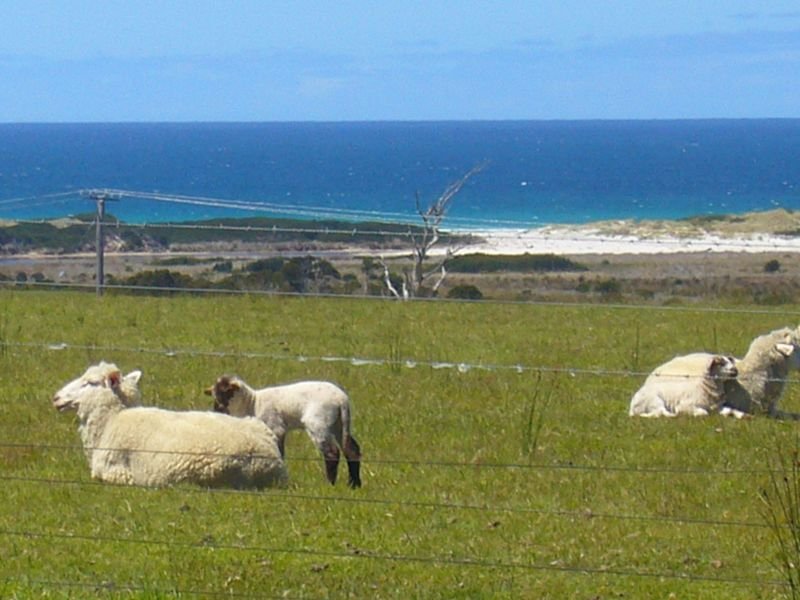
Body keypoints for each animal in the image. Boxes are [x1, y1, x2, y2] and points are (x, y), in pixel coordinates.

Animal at [206, 378, 362, 490]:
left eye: (224, 394)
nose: (216, 411)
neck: (252, 403)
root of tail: (341, 399)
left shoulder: (276, 427)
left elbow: (279, 452)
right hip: (338, 425)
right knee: (352, 450)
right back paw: (354, 485)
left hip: (318, 423)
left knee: (332, 452)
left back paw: (330, 484)